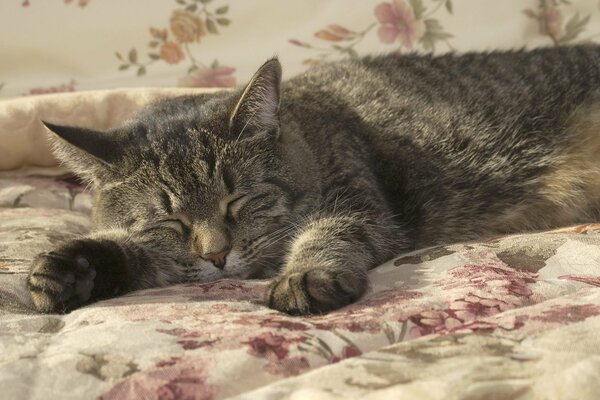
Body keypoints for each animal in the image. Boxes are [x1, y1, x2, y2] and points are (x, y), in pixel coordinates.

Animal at [27, 45, 600, 314]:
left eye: (239, 201)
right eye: (171, 222)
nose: (218, 255)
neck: (309, 124)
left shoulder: (358, 206)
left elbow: (327, 235)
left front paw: (304, 276)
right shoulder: (176, 257)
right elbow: (141, 254)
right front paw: (70, 268)